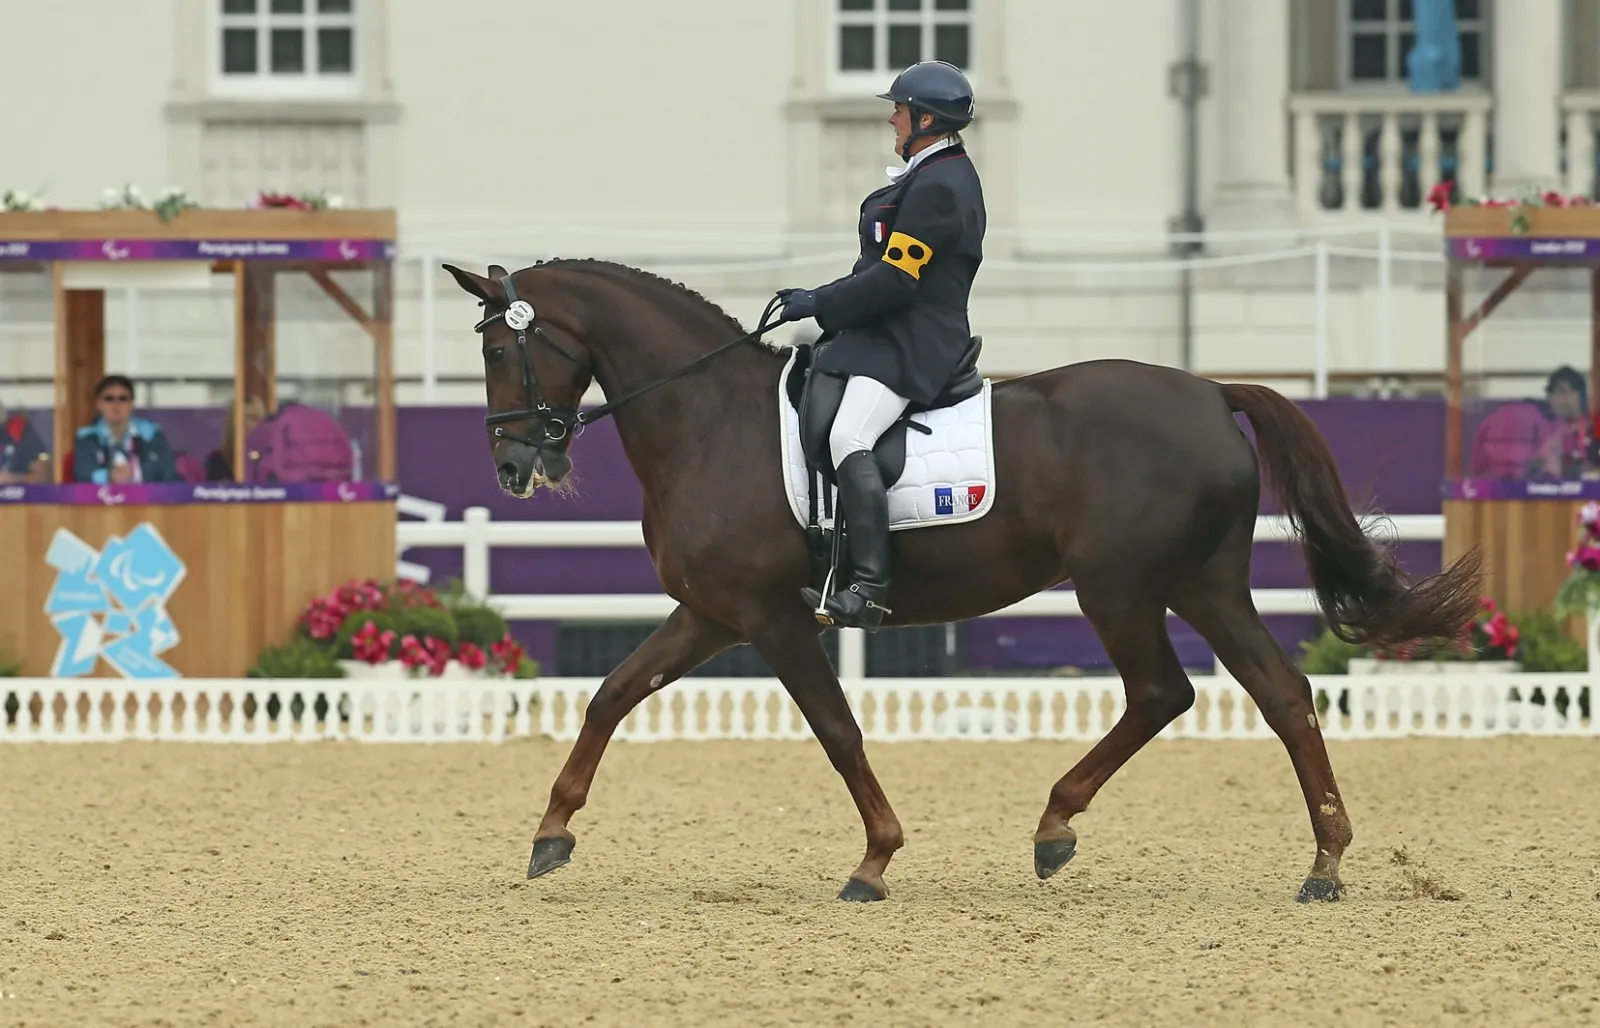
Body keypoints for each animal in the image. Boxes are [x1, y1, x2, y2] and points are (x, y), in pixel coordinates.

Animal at [444, 257, 1478, 903]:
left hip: (1120, 585)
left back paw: (1058, 829)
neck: (707, 418)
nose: (510, 466)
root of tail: (1211, 392)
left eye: (497, 351)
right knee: (1282, 693)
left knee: (1162, 691)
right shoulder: (711, 612)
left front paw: (874, 861)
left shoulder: (772, 619)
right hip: (1203, 584)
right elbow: (612, 694)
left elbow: (836, 729)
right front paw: (551, 833)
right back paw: (1323, 864)